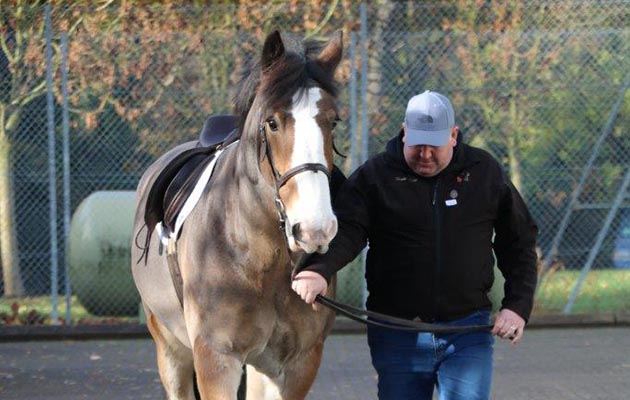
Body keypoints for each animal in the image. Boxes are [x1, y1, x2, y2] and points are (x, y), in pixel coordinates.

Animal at [130, 29, 344, 398]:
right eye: (272, 123)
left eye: (332, 121)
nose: (314, 229)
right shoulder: (216, 359)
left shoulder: (299, 363)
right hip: (170, 347)